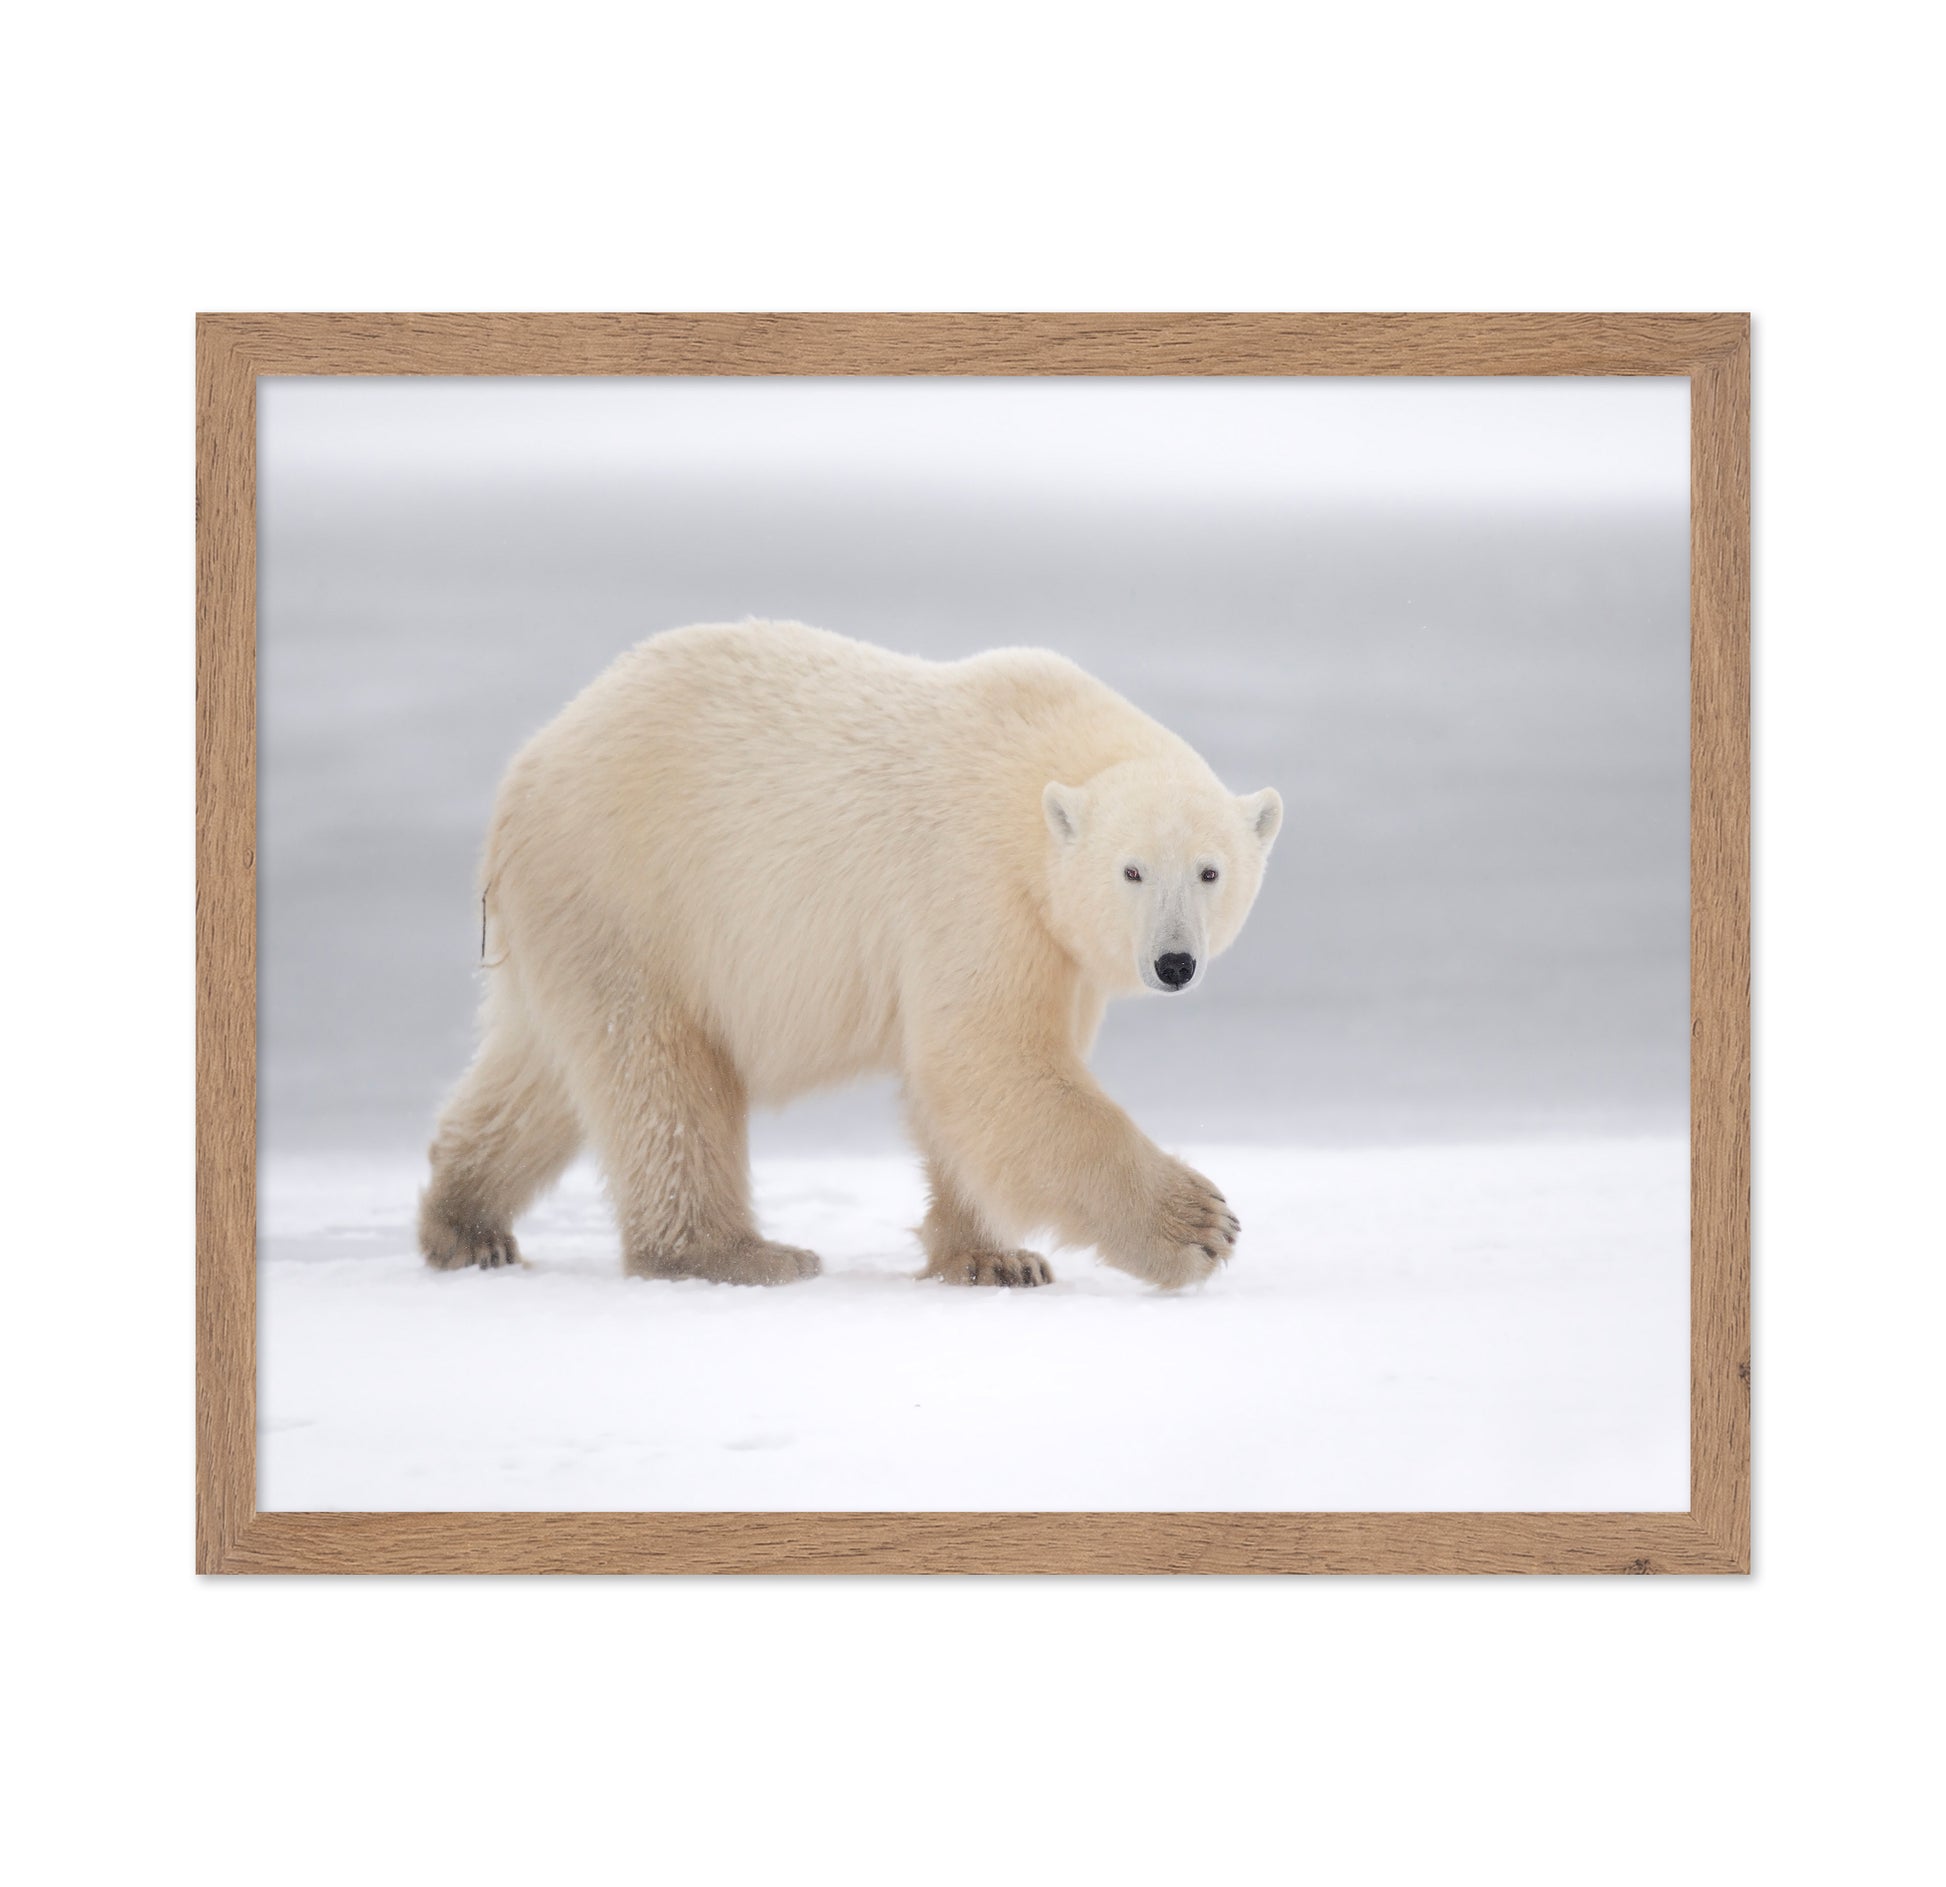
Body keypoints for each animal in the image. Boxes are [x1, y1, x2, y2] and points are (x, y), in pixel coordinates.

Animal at [419, 620, 1282, 1291]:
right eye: (1130, 870)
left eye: (1210, 870)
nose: (1174, 962)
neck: (1037, 763)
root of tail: (524, 774)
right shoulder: (975, 884)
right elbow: (988, 1058)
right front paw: (1200, 1224)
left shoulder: (1056, 944)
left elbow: (972, 1086)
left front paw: (995, 1258)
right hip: (636, 892)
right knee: (662, 1080)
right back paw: (740, 1253)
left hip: (575, 920)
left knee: (541, 1074)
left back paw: (465, 1222)